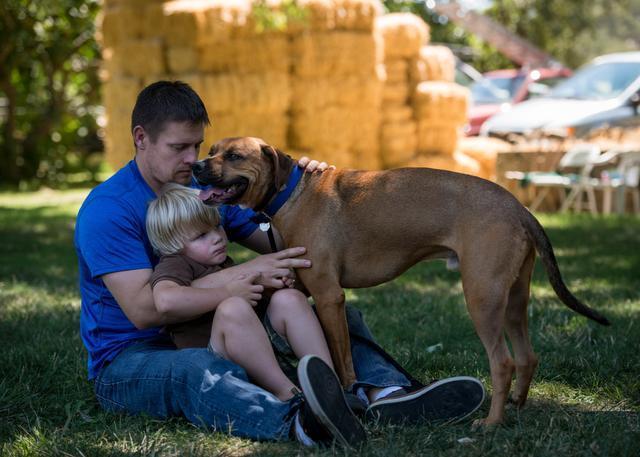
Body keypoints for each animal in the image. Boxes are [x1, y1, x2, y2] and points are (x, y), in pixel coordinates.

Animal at [194, 137, 608, 426]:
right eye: (210, 149)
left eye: (234, 156)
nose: (197, 166)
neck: (291, 193)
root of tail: (519, 208)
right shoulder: (301, 287)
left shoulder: (329, 297)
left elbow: (343, 359)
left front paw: (348, 393)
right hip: (513, 300)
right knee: (526, 356)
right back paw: (515, 408)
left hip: (482, 299)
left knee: (503, 362)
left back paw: (491, 422)